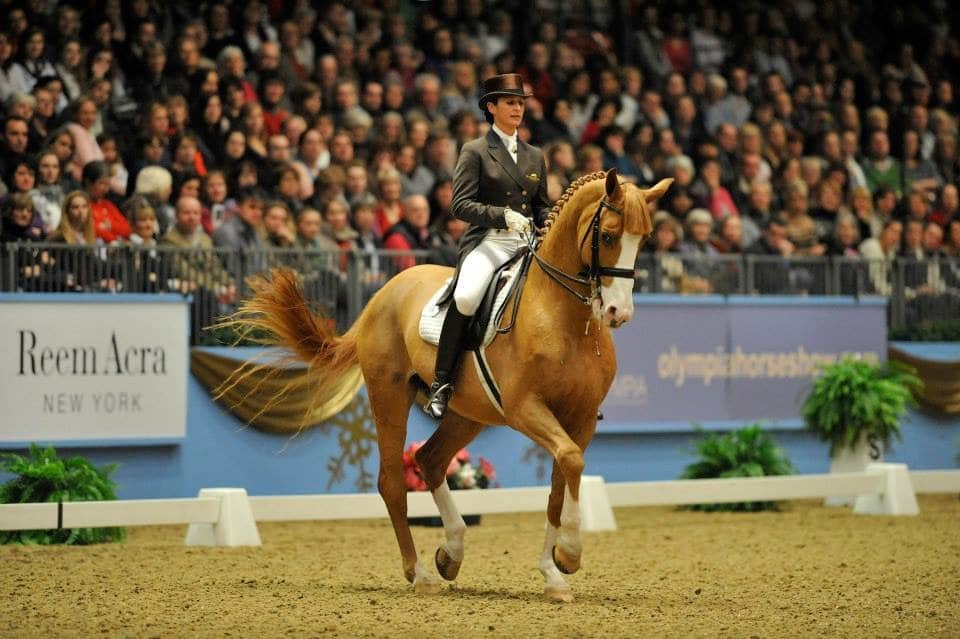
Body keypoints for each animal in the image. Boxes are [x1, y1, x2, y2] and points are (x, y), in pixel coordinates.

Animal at [226, 169, 672, 602]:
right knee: (393, 481)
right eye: (609, 236)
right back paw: (421, 574)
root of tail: (382, 293)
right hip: (389, 396)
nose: (617, 312)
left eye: (644, 239)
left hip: (469, 413)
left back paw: (451, 552)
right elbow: (571, 462)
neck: (564, 317)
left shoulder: (581, 418)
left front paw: (554, 572)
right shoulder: (525, 408)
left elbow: (562, 480)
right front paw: (569, 555)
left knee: (429, 460)